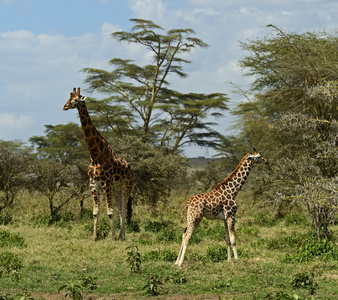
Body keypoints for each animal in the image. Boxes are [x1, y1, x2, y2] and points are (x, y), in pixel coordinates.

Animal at [63, 87, 133, 241]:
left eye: (75, 100)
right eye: (68, 98)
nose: (64, 106)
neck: (95, 154)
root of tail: (130, 166)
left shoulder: (106, 182)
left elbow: (110, 211)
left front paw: (113, 237)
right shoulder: (93, 182)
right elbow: (96, 212)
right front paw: (95, 237)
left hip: (127, 184)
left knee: (124, 208)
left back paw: (121, 236)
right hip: (116, 186)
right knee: (121, 208)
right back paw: (122, 235)